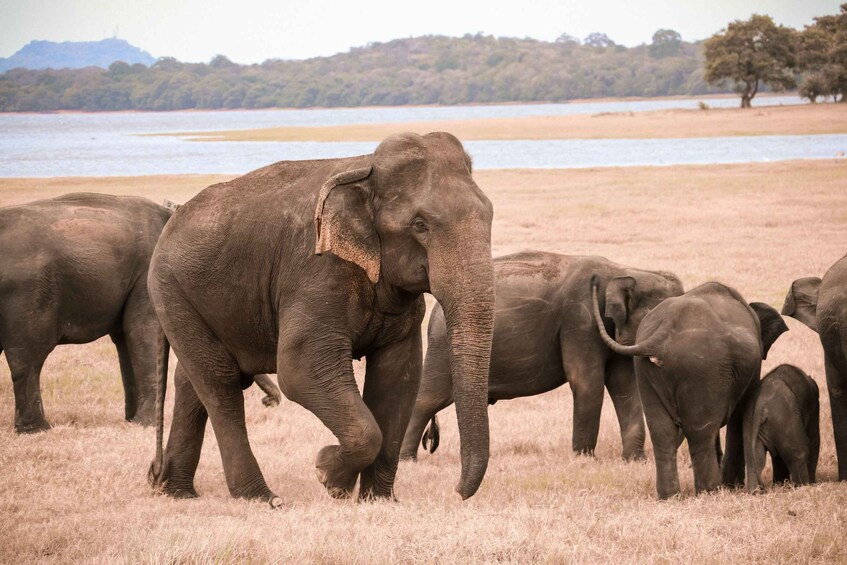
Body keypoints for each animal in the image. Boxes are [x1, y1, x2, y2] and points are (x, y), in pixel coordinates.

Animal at [147, 132, 496, 506]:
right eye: (420, 225)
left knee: (191, 381)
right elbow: (300, 370)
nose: (456, 492)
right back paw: (263, 498)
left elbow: (398, 376)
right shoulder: (316, 271)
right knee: (219, 383)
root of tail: (171, 218)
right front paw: (328, 475)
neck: (366, 169)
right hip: (171, 290)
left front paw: (378, 500)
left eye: (489, 215)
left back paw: (178, 492)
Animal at [400, 251, 683, 462]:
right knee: (427, 399)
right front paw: (584, 460)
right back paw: (406, 459)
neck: (627, 270)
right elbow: (586, 382)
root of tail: (435, 313)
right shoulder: (580, 319)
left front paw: (635, 460)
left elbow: (625, 386)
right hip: (442, 349)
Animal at [591, 280, 788, 498]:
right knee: (700, 431)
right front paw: (732, 486)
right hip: (701, 368)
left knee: (661, 430)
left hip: (645, 369)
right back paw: (710, 491)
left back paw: (670, 496)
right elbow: (740, 414)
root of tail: (663, 333)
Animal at [743, 364, 819, 492]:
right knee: (800, 452)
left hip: (750, 421)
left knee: (753, 458)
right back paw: (803, 487)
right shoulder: (814, 409)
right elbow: (814, 440)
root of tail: (761, 405)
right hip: (784, 417)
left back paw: (755, 492)